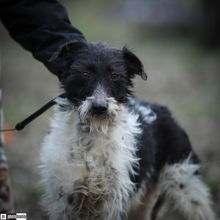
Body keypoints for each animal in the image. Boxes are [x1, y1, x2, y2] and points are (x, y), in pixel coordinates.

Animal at [40, 40, 217, 220]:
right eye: (85, 74)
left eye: (115, 76)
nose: (99, 107)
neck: (92, 133)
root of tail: (165, 112)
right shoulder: (65, 197)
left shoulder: (111, 201)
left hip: (186, 187)